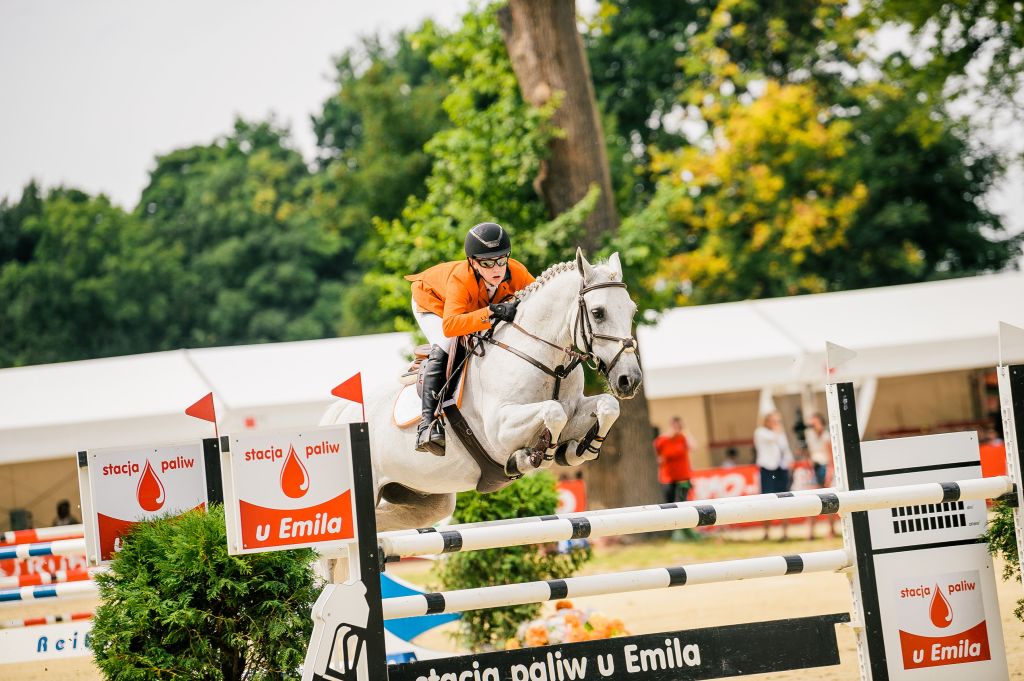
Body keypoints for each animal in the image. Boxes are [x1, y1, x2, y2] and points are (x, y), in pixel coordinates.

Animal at [319, 249, 643, 532]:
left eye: (632, 310)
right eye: (598, 313)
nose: (630, 379)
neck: (547, 358)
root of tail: (340, 416)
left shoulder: (576, 407)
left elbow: (606, 406)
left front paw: (577, 450)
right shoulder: (499, 430)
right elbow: (553, 412)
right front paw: (532, 456)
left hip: (425, 498)